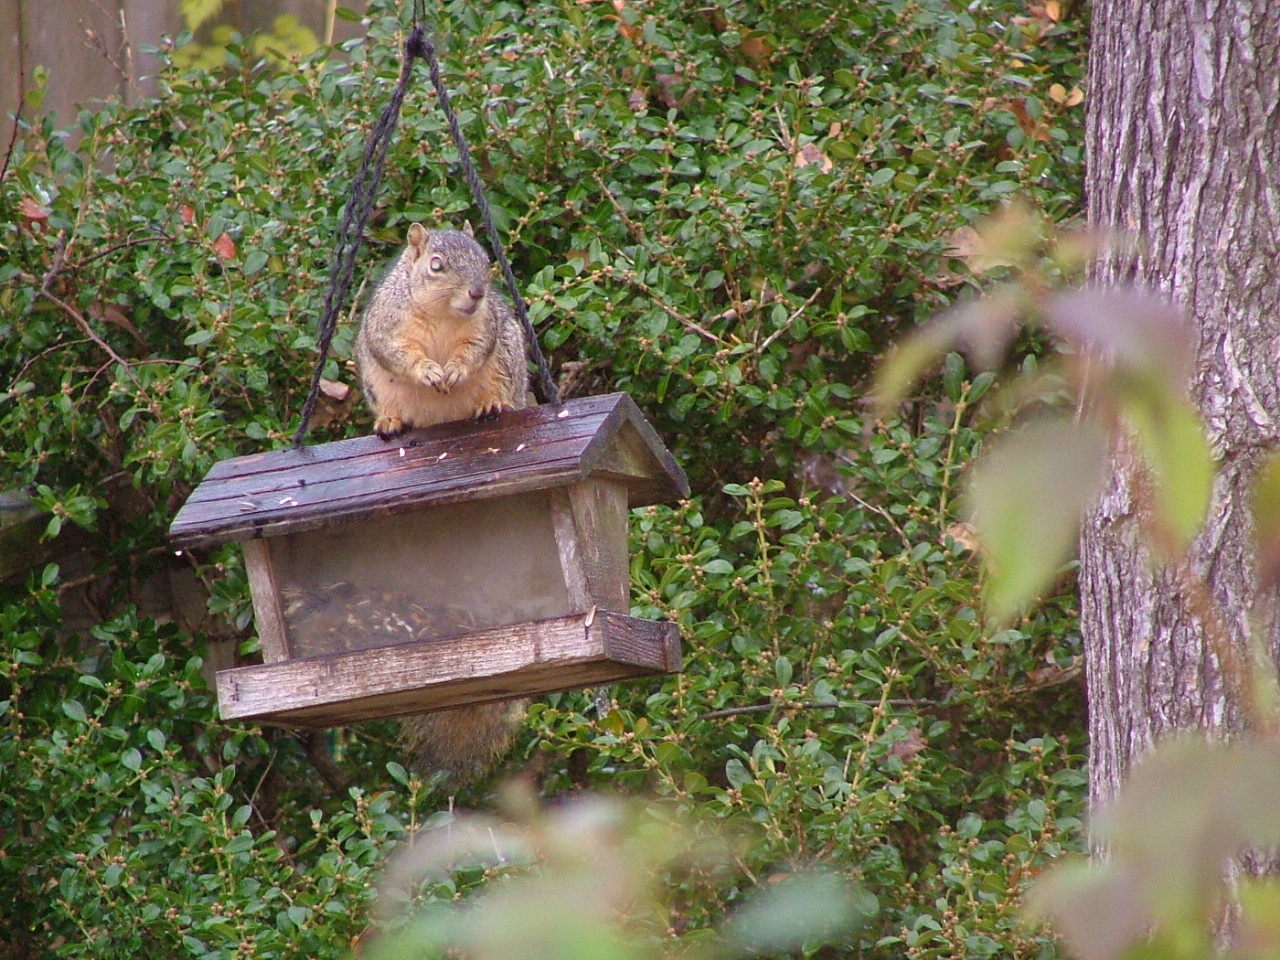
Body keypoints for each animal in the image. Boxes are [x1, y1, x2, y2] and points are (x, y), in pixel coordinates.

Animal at [355, 225, 529, 788]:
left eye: (486, 259)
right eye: (436, 265)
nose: (476, 293)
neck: (444, 315)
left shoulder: (485, 331)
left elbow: (472, 351)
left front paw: (452, 369)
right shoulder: (388, 329)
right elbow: (402, 354)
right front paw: (431, 370)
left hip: (508, 363)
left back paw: (491, 405)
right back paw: (392, 421)